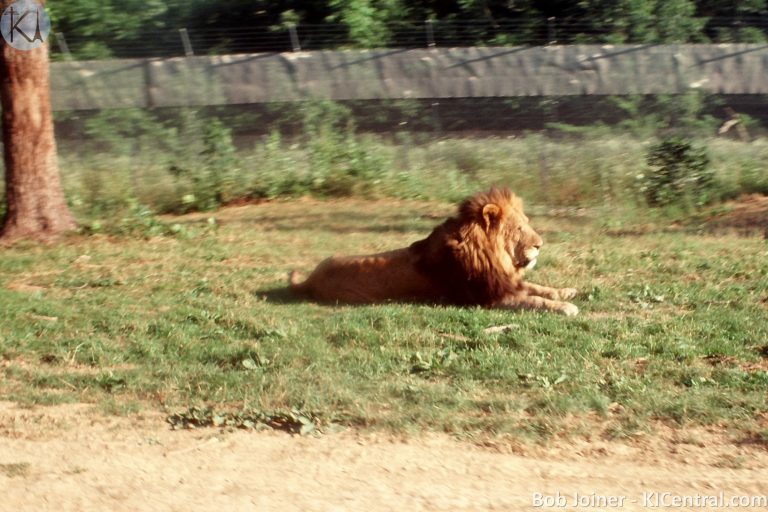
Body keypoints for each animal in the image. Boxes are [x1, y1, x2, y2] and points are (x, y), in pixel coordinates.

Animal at [289, 187, 579, 316]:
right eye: (519, 228)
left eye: (527, 223)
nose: (540, 244)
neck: (494, 257)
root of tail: (309, 279)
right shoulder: (490, 297)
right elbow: (534, 300)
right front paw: (566, 307)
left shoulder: (504, 281)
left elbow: (538, 288)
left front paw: (566, 291)